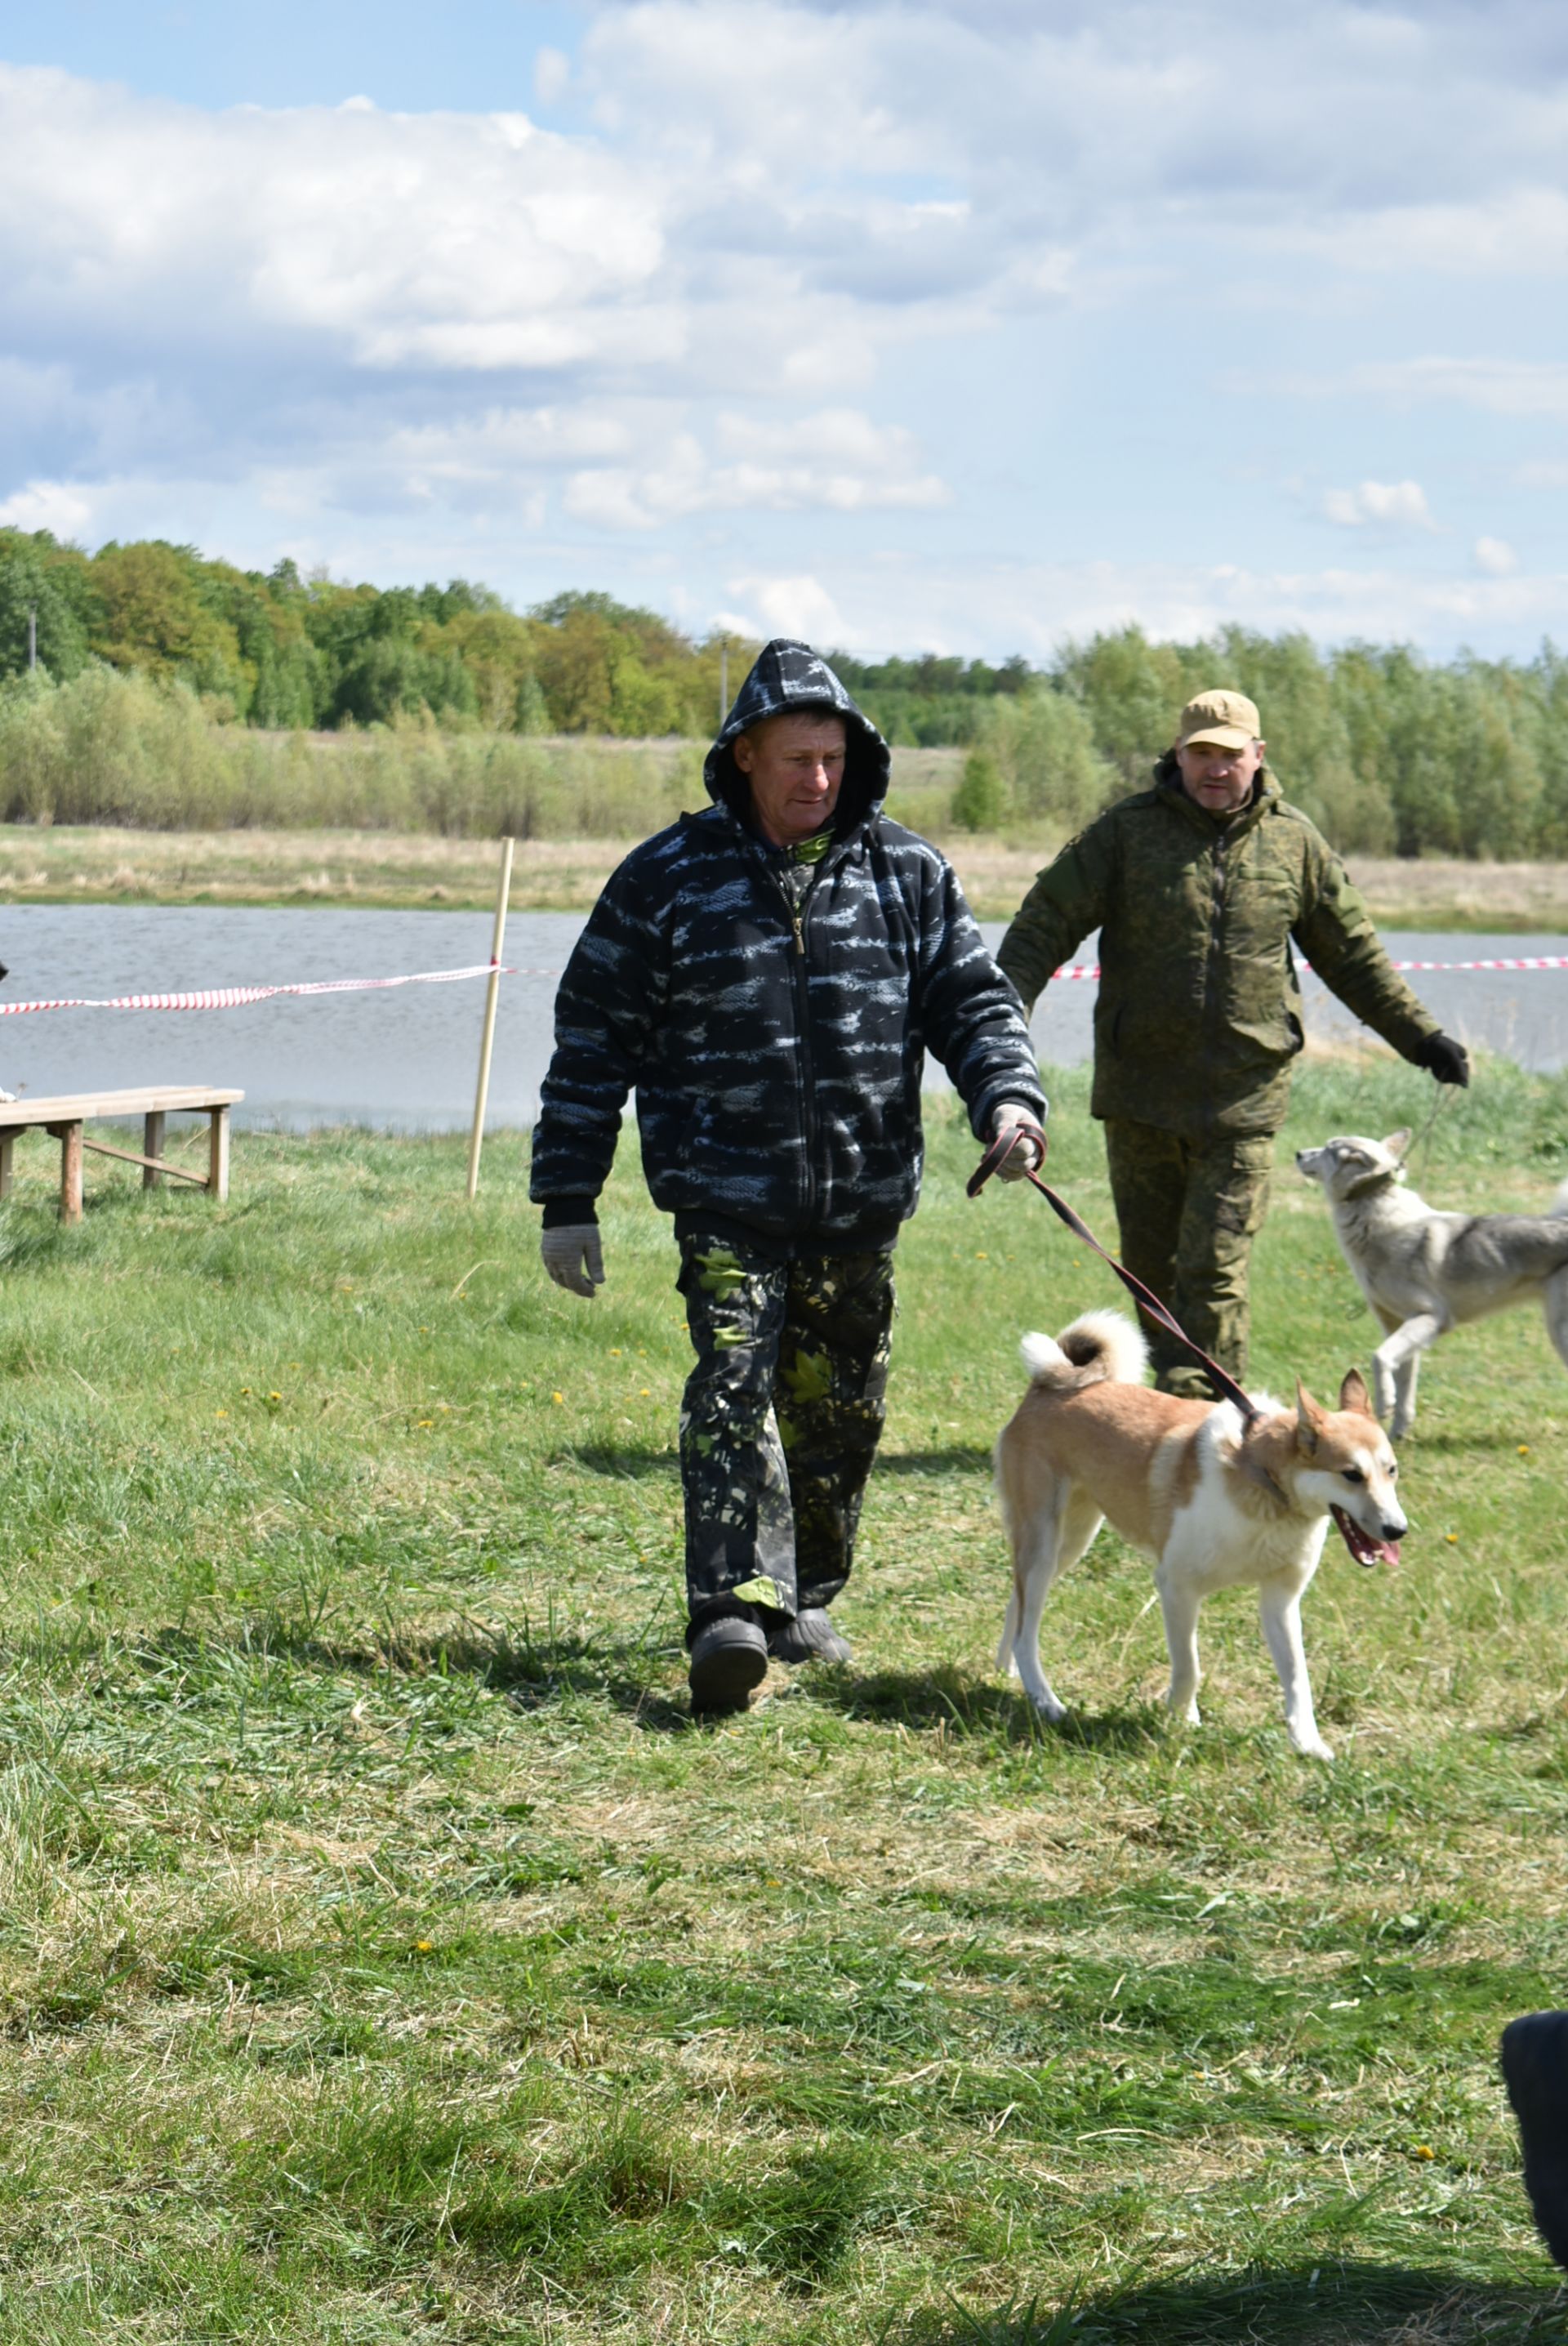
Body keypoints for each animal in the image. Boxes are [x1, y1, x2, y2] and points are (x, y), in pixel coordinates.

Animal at [989, 1313, 1405, 1755]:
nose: (1398, 1530)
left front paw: (1308, 1743)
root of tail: (1044, 1388)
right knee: (1027, 1628)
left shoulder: (1281, 1600)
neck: (1264, 1483)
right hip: (1044, 1541)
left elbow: (1298, 1678)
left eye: (1391, 1470)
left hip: (1070, 1542)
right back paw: (1046, 1701)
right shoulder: (1177, 1587)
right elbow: (1189, 1665)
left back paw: (1006, 1670)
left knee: (1018, 1608)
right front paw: (1183, 1720)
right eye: (1352, 1475)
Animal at [1303, 1131, 1568, 1435]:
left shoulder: (1430, 1317)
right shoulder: (1398, 1326)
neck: (1375, 1210)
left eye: (1326, 1149)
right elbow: (1404, 1390)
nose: (1298, 1153)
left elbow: (1379, 1359)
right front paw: (1395, 1436)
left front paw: (1384, 1403)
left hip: (1560, 1332)